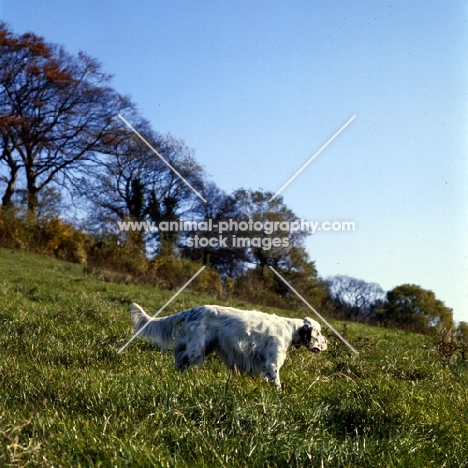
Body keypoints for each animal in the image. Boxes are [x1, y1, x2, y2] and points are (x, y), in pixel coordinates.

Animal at [130, 302, 328, 390]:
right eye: (318, 333)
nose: (327, 343)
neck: (290, 328)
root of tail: (191, 310)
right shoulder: (272, 363)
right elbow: (276, 382)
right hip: (196, 349)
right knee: (182, 363)